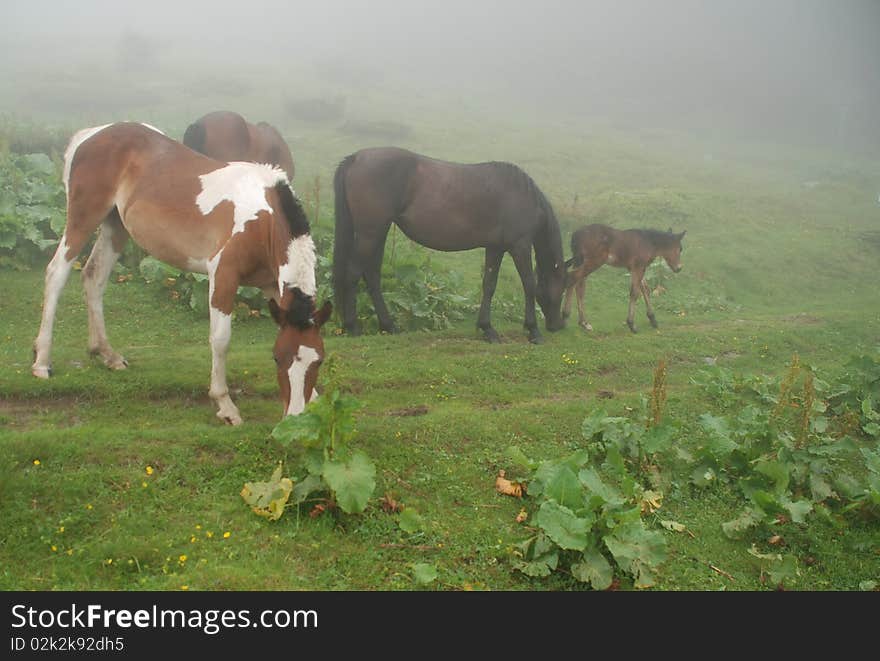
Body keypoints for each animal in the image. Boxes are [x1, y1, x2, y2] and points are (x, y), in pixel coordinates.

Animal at [31, 122, 330, 426]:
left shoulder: (271, 285)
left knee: (94, 277)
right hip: (83, 218)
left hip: (116, 227)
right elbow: (220, 340)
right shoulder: (223, 276)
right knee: (56, 274)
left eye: (318, 361)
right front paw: (225, 404)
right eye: (277, 358)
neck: (263, 217)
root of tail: (91, 134)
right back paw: (42, 361)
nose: (295, 417)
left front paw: (314, 399)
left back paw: (107, 354)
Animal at [334, 147, 568, 342]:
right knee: (353, 274)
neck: (522, 196)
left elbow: (489, 285)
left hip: (376, 234)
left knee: (372, 275)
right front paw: (533, 330)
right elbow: (528, 284)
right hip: (370, 234)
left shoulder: (495, 248)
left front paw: (487, 329)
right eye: (563, 287)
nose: (557, 325)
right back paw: (353, 327)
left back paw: (388, 326)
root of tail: (356, 158)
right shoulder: (520, 246)